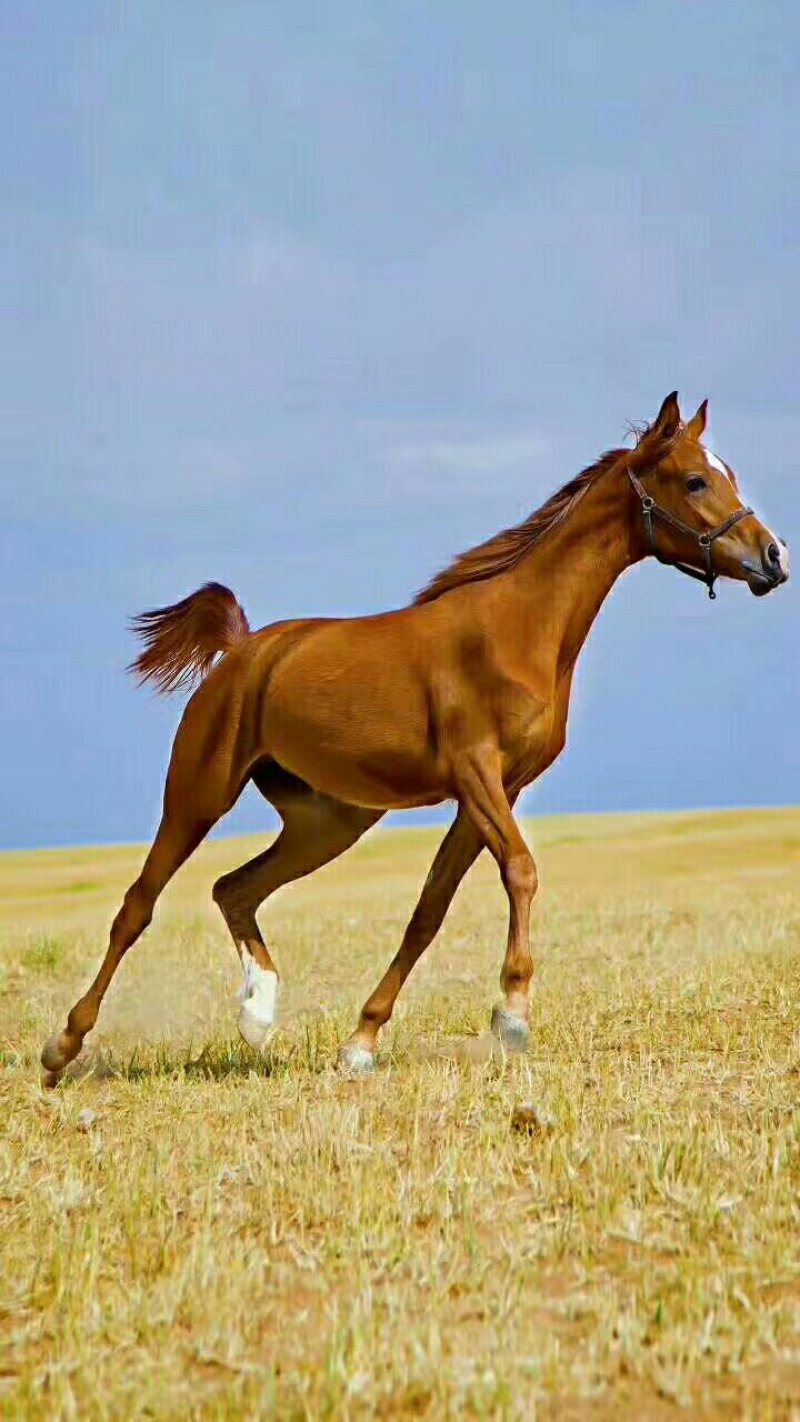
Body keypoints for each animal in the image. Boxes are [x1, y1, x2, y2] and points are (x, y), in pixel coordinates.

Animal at [41, 392, 789, 1082]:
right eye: (695, 480)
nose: (773, 558)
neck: (519, 629)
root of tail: (244, 649)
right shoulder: (476, 774)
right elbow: (521, 871)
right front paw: (512, 1016)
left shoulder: (497, 789)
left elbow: (429, 910)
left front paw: (360, 1044)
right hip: (199, 792)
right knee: (138, 906)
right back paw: (63, 1047)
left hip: (328, 820)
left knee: (235, 888)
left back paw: (257, 1014)